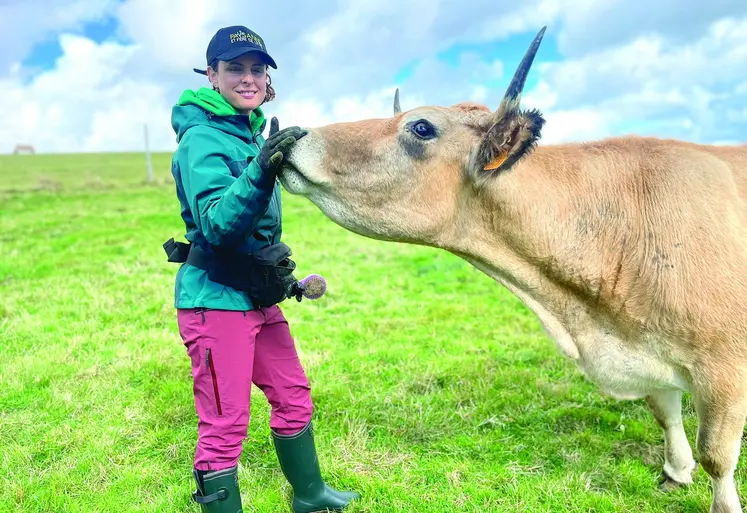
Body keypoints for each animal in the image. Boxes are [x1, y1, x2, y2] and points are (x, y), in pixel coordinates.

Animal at [278, 25, 747, 512]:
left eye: (422, 126)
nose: (294, 134)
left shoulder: (725, 368)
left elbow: (716, 455)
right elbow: (665, 413)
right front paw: (675, 471)